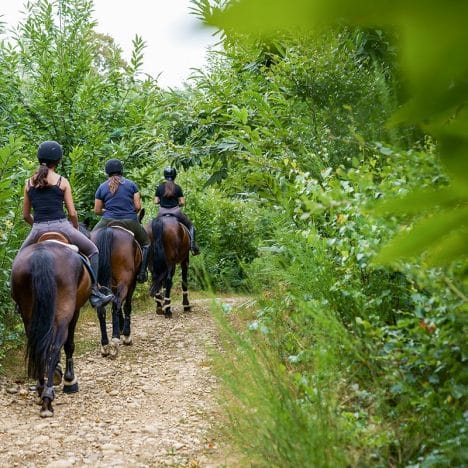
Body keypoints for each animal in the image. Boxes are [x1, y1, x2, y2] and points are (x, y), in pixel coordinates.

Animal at [11, 234, 92, 416]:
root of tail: (43, 254)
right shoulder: (75, 311)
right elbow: (69, 345)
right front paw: (69, 379)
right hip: (64, 312)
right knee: (55, 346)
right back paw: (48, 398)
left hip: (29, 315)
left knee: (38, 346)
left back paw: (42, 389)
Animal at [90, 223, 143, 358]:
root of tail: (108, 230)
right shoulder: (131, 283)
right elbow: (127, 306)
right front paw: (126, 334)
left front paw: (121, 328)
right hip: (125, 280)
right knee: (116, 304)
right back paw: (114, 341)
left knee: (101, 308)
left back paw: (105, 345)